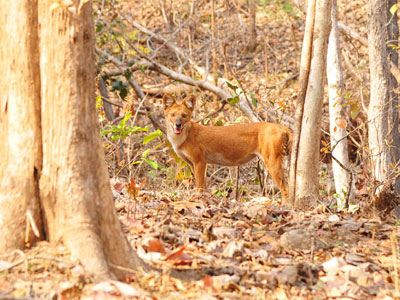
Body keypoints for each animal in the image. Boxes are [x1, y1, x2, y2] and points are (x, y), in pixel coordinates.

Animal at [163, 94, 294, 202]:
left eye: (184, 115)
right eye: (172, 115)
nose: (178, 125)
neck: (181, 139)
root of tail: (282, 127)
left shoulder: (200, 161)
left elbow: (199, 186)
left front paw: (197, 199)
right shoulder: (192, 163)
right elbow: (204, 186)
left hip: (272, 162)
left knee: (285, 188)